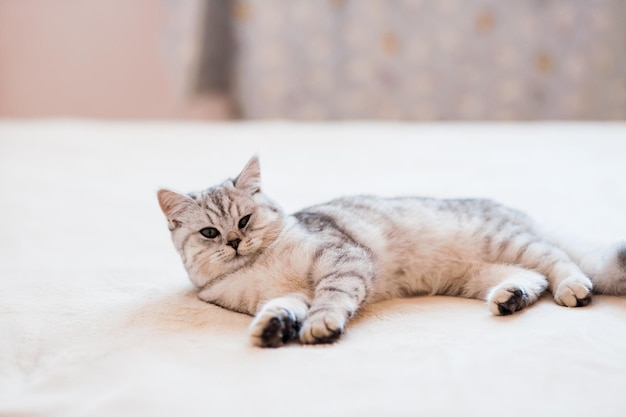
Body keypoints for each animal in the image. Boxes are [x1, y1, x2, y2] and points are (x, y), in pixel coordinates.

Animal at [156, 154, 624, 346]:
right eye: (210, 233)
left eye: (244, 221)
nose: (235, 242)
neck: (261, 265)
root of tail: (520, 213)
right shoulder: (284, 293)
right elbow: (282, 306)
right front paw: (274, 328)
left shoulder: (341, 259)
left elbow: (330, 299)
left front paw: (318, 325)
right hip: (480, 273)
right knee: (532, 278)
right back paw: (511, 298)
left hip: (509, 240)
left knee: (558, 261)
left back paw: (574, 288)